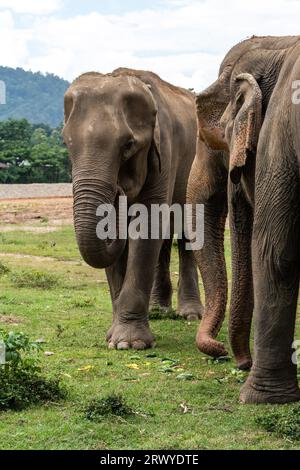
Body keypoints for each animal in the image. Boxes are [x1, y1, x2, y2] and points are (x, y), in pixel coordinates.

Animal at [64, 68, 203, 350]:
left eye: (127, 145)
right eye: (67, 144)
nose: (118, 191)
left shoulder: (165, 152)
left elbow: (147, 227)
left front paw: (130, 344)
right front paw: (112, 337)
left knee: (186, 232)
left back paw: (191, 314)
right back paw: (159, 310)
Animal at [188, 35, 300, 404]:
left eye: (218, 138)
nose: (232, 357)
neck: (277, 45)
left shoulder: (280, 132)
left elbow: (275, 252)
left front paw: (259, 397)